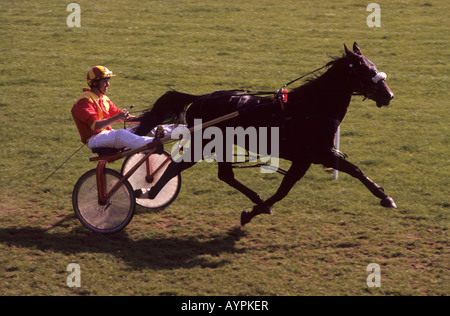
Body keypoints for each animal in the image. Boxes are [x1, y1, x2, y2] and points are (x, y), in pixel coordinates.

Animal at [134, 42, 398, 225]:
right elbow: (349, 172)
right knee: (177, 166)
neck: (311, 107)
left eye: (373, 65)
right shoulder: (314, 155)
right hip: (204, 144)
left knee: (223, 175)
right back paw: (151, 191)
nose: (389, 95)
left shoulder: (310, 158)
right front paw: (384, 197)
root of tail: (200, 98)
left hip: (219, 145)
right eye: (365, 69)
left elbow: (288, 187)